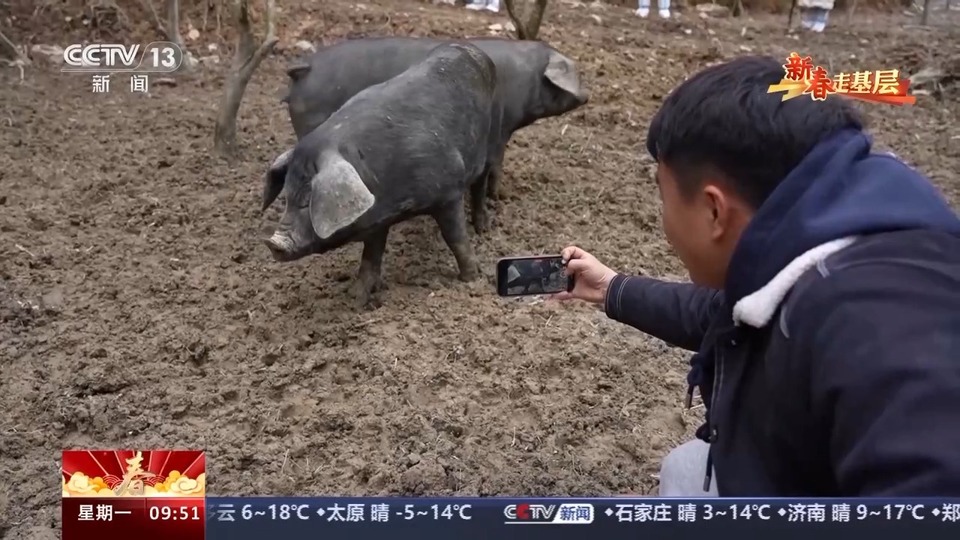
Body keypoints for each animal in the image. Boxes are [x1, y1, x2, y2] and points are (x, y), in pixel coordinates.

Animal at [262, 43, 498, 308]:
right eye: (287, 197)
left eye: (307, 202)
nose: (273, 242)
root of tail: (468, 47)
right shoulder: (379, 217)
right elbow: (370, 257)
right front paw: (355, 301)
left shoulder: (449, 192)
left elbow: (455, 238)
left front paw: (471, 279)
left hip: (488, 141)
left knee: (480, 184)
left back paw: (484, 228)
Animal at [282, 33, 588, 228]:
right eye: (573, 74)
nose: (587, 95)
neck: (526, 81)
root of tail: (305, 66)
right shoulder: (499, 131)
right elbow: (496, 165)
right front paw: (497, 198)